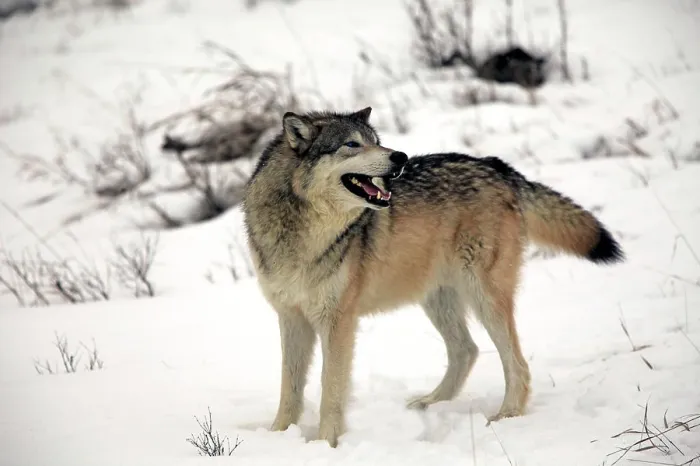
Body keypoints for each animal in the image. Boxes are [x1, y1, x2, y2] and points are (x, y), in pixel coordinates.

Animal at [242, 107, 623, 448]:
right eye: (351, 144)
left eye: (375, 141)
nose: (400, 157)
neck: (301, 234)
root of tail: (497, 166)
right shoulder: (291, 317)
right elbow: (289, 388)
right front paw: (277, 436)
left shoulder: (338, 321)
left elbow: (330, 389)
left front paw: (325, 444)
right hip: (438, 299)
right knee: (466, 350)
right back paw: (430, 403)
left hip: (484, 297)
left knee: (516, 363)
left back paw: (505, 416)